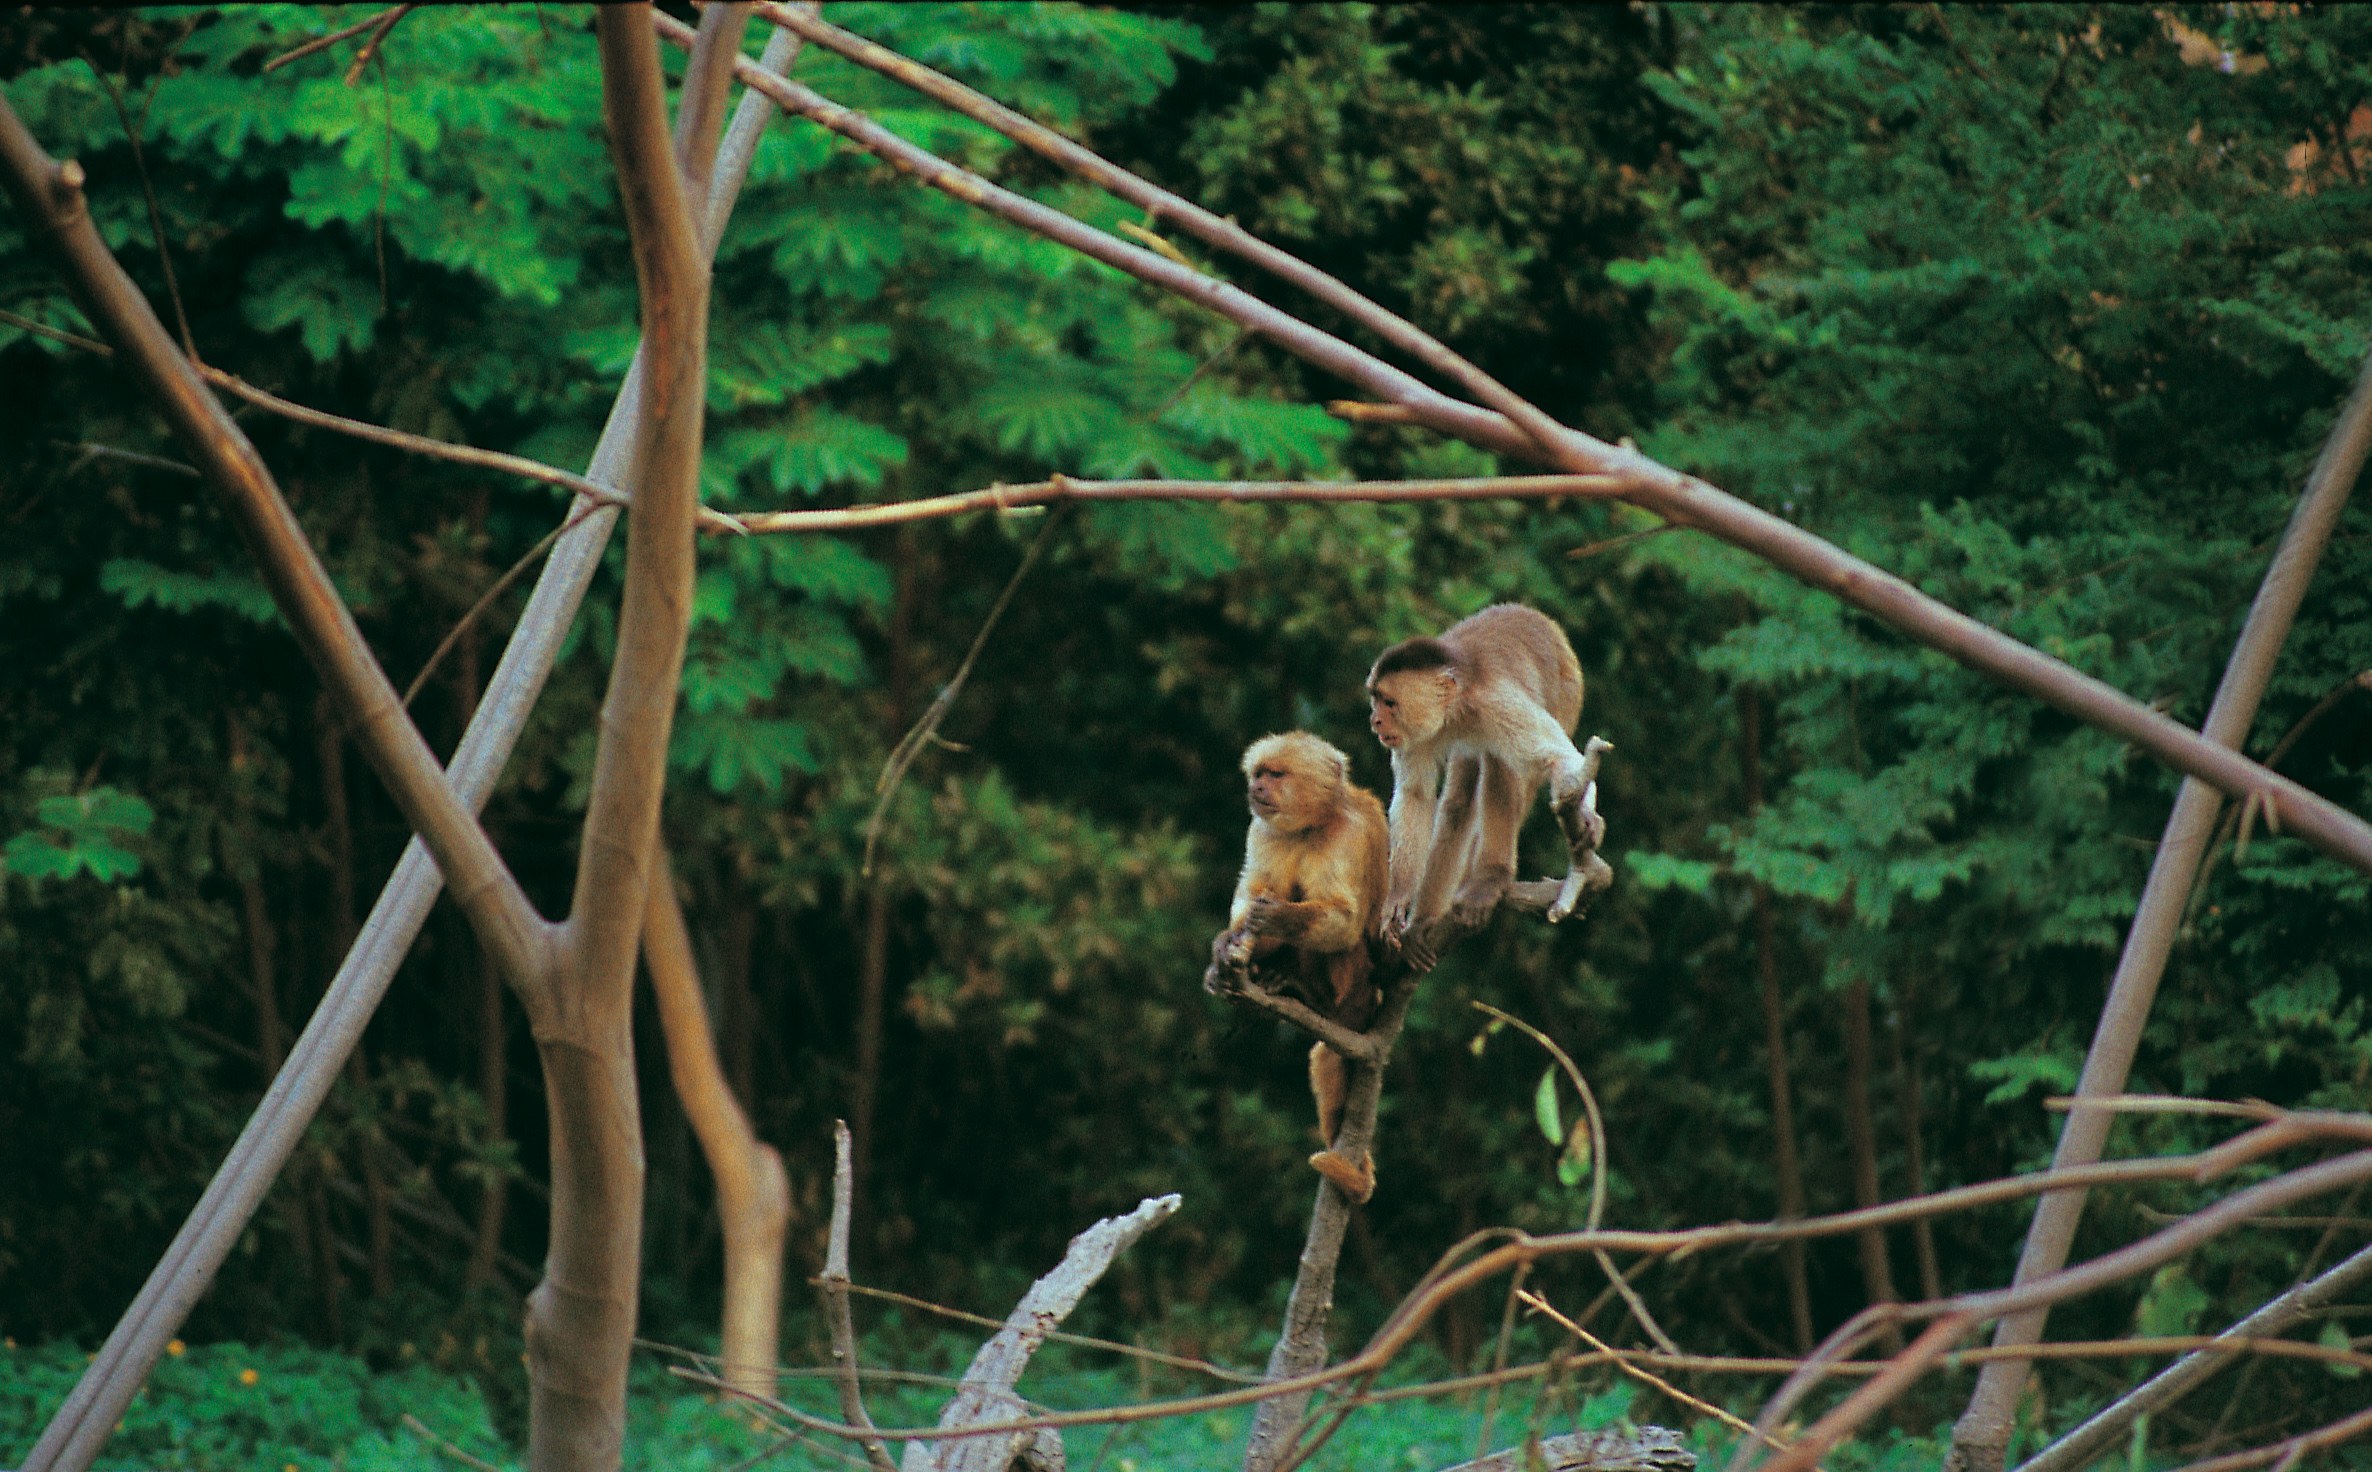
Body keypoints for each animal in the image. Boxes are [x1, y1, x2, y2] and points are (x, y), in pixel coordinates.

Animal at [1207, 731, 1388, 1202]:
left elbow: (1344, 921)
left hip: (1358, 991)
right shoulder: (1263, 828)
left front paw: (1278, 917)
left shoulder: (1347, 833)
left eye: (1276, 775)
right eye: (1259, 774)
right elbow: (1251, 892)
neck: (1311, 825)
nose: (1257, 787)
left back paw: (1310, 995)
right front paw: (1226, 947)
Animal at [1366, 604, 1606, 957]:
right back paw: (1424, 922)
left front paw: (1588, 818)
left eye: (1389, 703)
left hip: (1567, 692)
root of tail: (1547, 623)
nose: (1375, 720)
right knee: (1459, 801)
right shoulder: (1414, 734)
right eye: (1376, 699)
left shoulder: (1496, 703)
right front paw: (1398, 898)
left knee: (1502, 765)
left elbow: (1562, 757)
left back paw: (1491, 877)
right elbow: (1415, 796)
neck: (1457, 708)